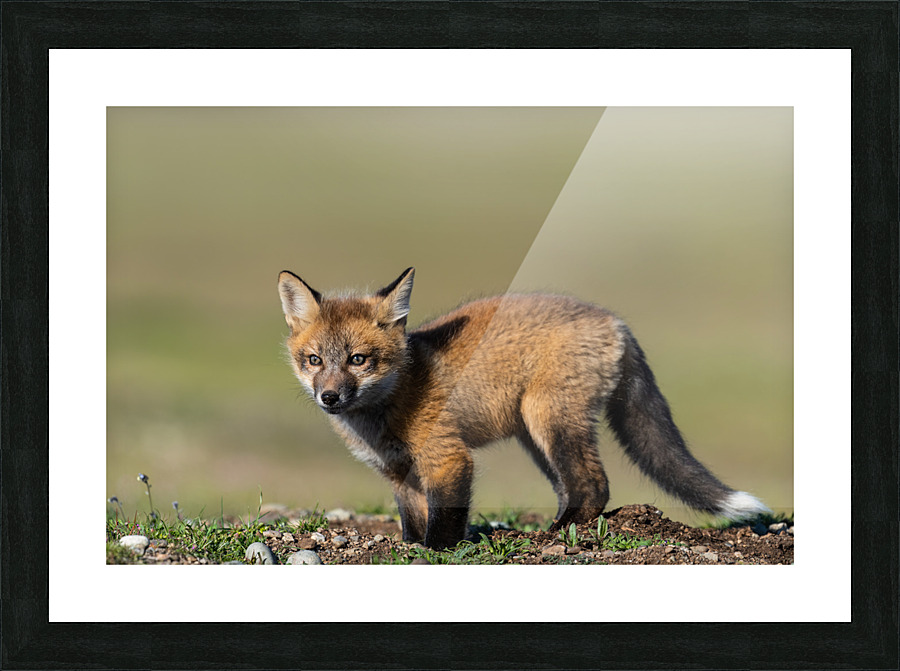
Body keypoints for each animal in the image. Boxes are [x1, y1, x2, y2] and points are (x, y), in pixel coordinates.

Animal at [277, 267, 770, 549]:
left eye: (359, 360)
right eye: (314, 360)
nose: (330, 398)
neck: (391, 402)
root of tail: (615, 321)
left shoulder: (449, 458)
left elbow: (443, 524)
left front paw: (436, 555)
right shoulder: (399, 473)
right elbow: (412, 523)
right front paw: (410, 548)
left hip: (548, 419)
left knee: (594, 486)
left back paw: (554, 536)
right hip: (533, 436)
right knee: (574, 488)